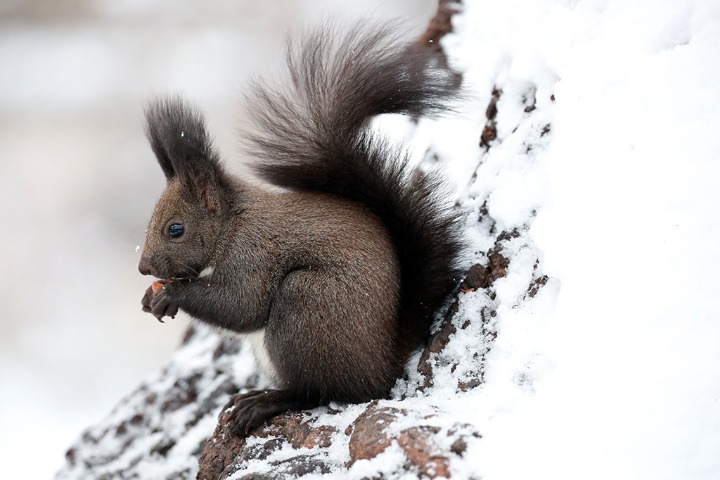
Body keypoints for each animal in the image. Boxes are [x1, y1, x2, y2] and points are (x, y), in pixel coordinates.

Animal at [138, 21, 463, 436]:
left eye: (175, 229)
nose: (144, 268)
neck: (232, 224)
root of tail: (382, 365)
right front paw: (150, 298)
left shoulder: (253, 253)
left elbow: (241, 305)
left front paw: (171, 295)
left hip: (306, 305)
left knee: (321, 391)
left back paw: (265, 402)